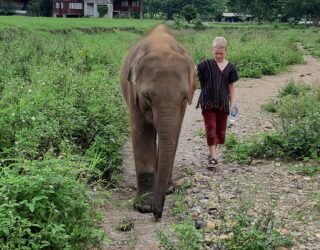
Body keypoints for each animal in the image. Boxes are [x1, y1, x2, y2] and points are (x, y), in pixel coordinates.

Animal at [119, 23, 196, 219]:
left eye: (184, 96)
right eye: (147, 96)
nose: (157, 214)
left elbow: (173, 134)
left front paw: (167, 190)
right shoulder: (134, 93)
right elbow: (142, 132)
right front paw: (143, 207)